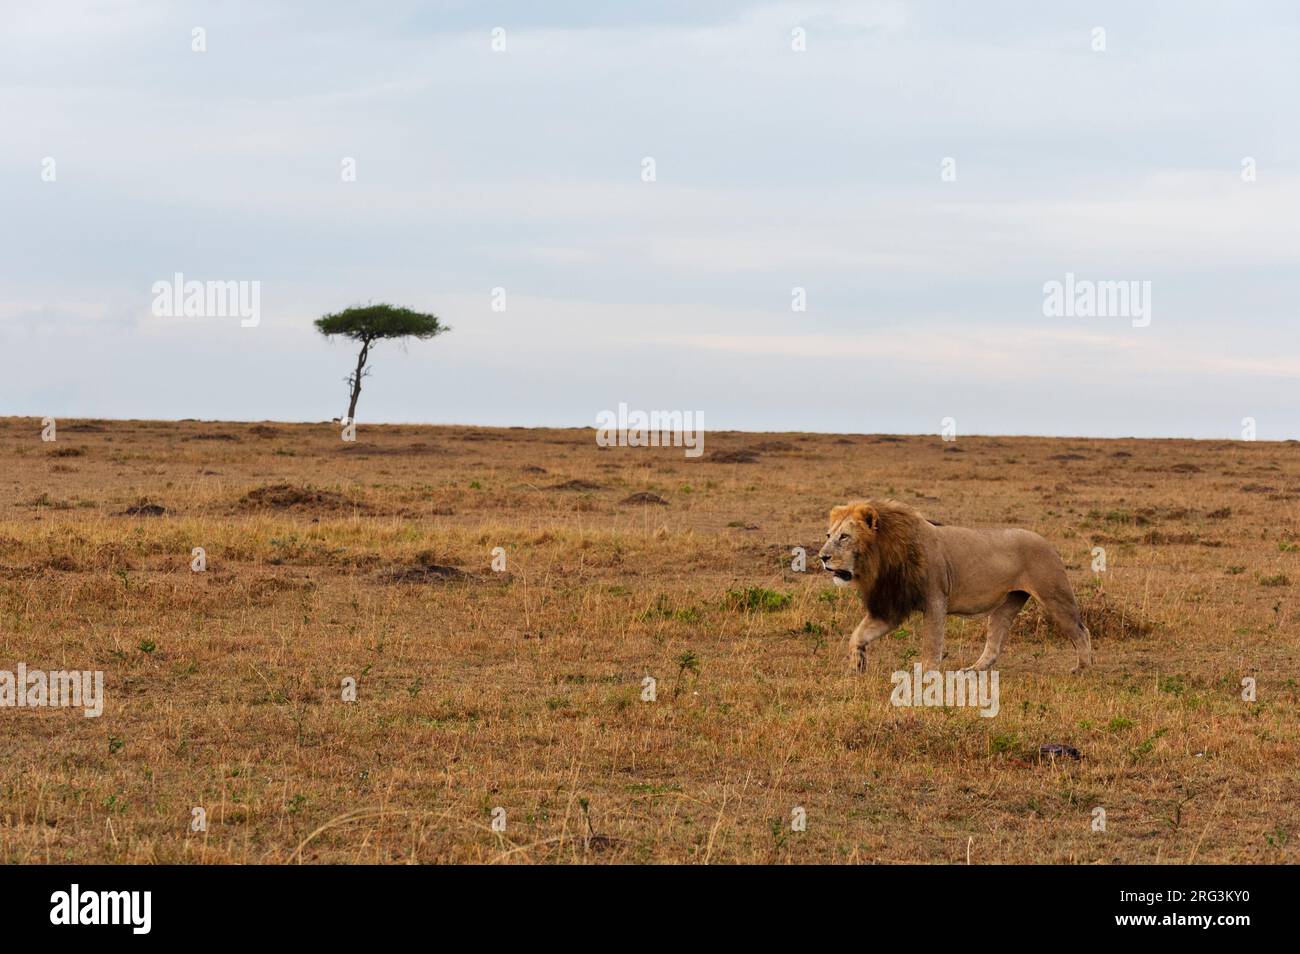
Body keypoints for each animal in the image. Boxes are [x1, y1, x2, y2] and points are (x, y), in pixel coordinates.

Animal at [816, 501, 1092, 670]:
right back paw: (973, 670)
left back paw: (1083, 667)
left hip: (1054, 595)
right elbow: (858, 634)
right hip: (1009, 602)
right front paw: (856, 664)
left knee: (1081, 631)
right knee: (995, 643)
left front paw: (927, 674)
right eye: (829, 535)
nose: (822, 557)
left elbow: (932, 643)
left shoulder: (936, 599)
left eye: (844, 537)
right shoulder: (891, 605)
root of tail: (1048, 543)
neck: (883, 558)